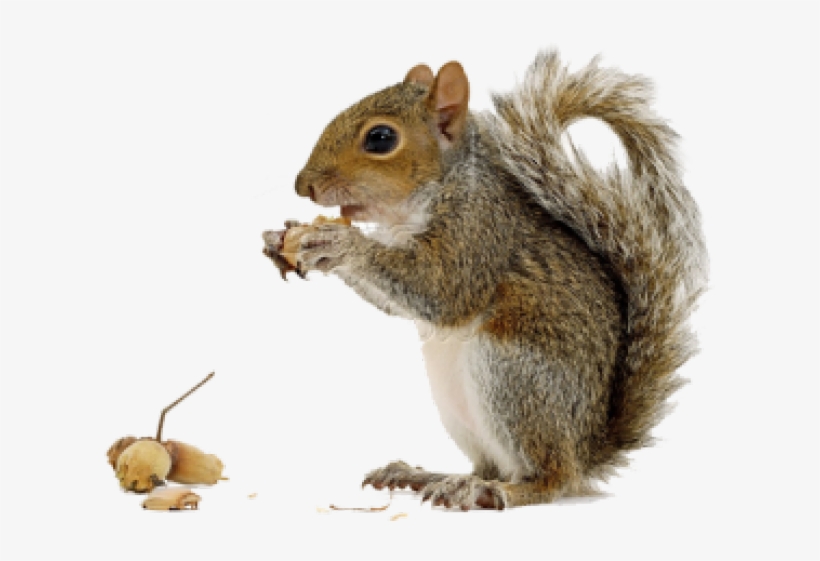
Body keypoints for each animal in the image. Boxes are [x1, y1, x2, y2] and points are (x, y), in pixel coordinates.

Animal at [264, 51, 708, 510]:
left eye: (381, 138)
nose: (303, 185)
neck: (440, 190)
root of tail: (586, 449)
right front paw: (282, 239)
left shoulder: (478, 235)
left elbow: (440, 291)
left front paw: (341, 243)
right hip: (456, 401)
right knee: (488, 464)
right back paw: (427, 476)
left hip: (514, 377)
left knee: (552, 479)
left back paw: (495, 490)